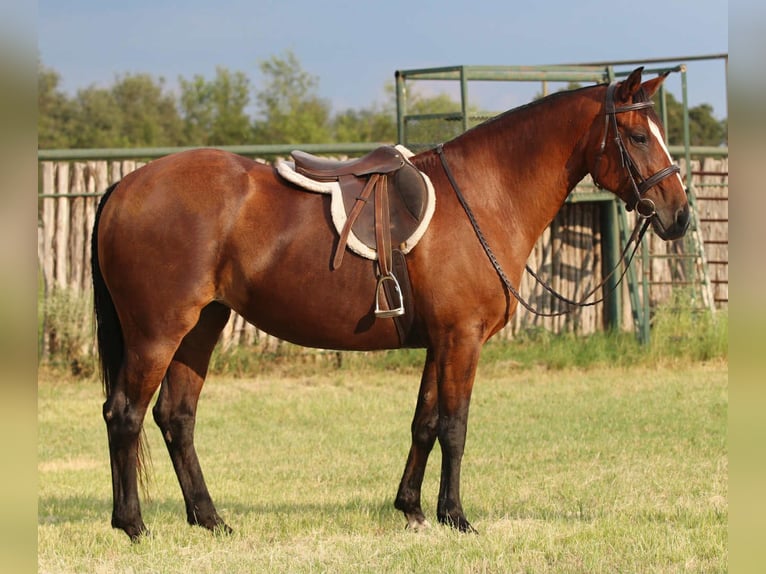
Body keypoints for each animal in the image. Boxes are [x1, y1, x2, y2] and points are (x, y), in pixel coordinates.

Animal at [91, 67, 689, 540]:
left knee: (176, 417)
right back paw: (133, 525)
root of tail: (124, 186)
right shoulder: (462, 339)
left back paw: (211, 519)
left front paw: (413, 509)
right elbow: (455, 426)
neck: (483, 195)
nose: (679, 215)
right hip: (158, 332)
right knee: (125, 414)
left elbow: (424, 423)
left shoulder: (439, 342)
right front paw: (456, 516)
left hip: (200, 328)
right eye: (638, 136)